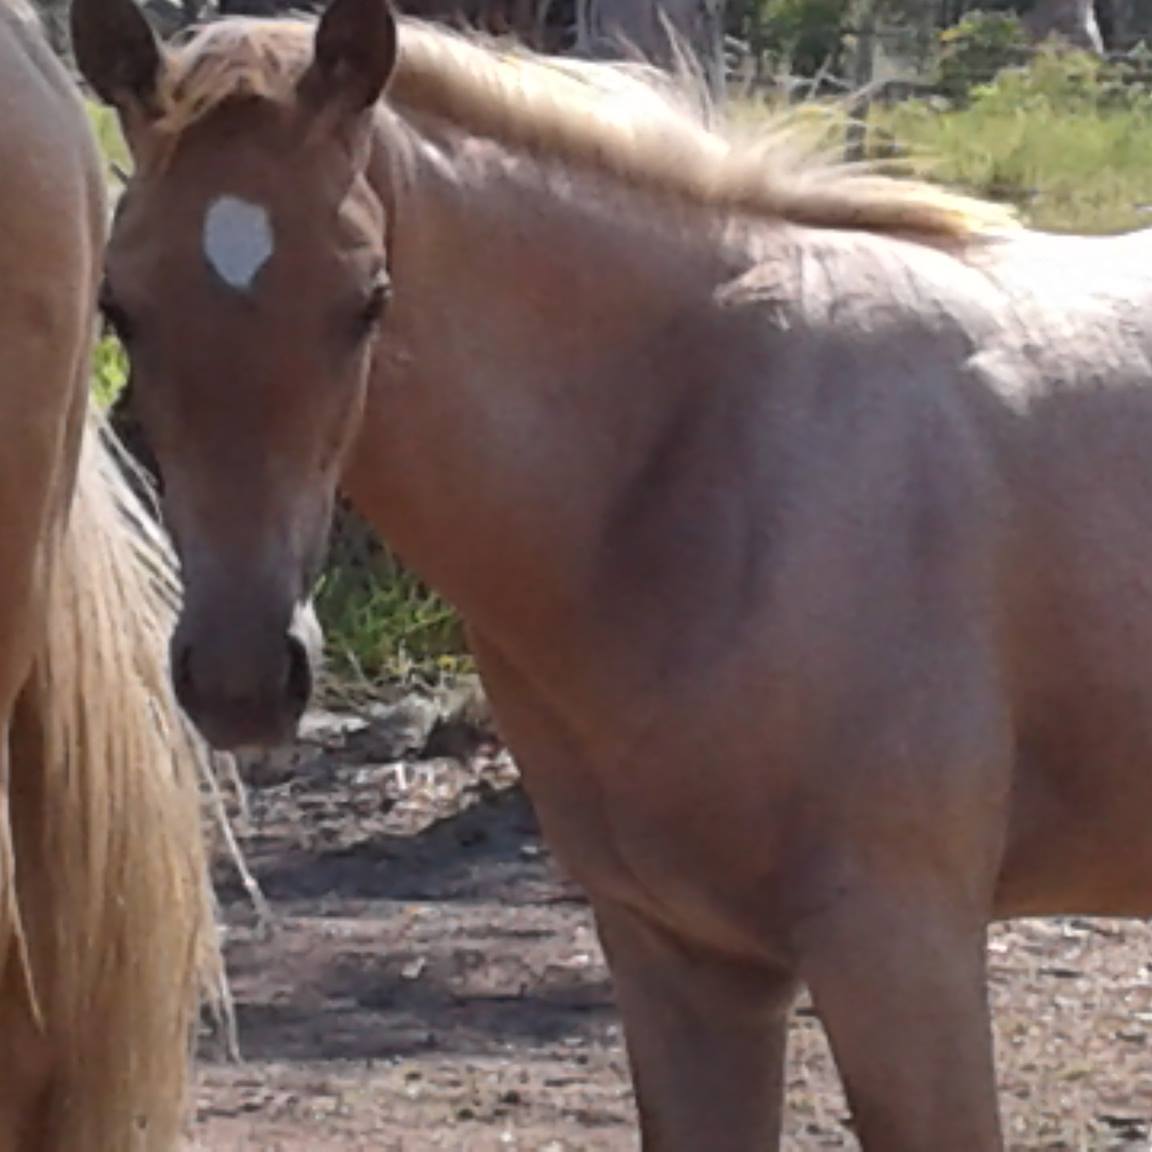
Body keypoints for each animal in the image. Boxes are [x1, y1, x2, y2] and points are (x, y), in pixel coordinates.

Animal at [71, 0, 1152, 1145]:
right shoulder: (678, 955)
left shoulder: (903, 950)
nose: (240, 677)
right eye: (119, 305)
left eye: (368, 298)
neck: (705, 450)